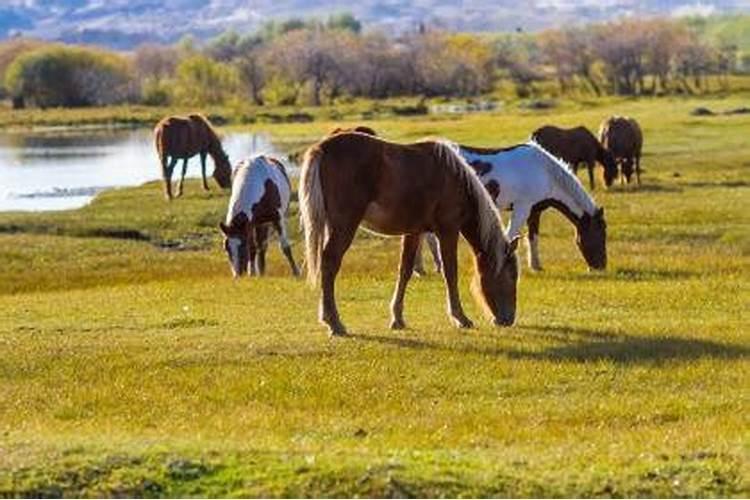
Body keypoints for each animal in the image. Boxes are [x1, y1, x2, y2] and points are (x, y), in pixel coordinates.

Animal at [296, 131, 520, 338]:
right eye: (511, 276)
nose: (508, 319)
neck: (454, 178)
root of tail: (322, 148)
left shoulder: (414, 232)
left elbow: (405, 271)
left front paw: (397, 318)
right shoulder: (448, 230)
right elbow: (450, 272)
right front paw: (460, 318)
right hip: (344, 225)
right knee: (329, 263)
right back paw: (334, 323)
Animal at [420, 141, 608, 274]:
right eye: (600, 235)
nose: (601, 266)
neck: (543, 171)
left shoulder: (534, 211)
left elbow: (532, 237)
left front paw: (536, 265)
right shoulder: (521, 208)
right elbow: (511, 234)